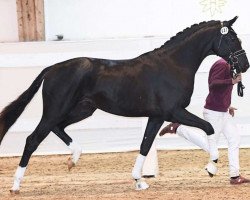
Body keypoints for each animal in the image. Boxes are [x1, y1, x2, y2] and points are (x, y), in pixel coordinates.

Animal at [0, 16, 249, 192]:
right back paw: (15, 186)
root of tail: (51, 69)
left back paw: (73, 159)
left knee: (57, 128)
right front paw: (211, 166)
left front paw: (139, 181)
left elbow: (145, 145)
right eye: (231, 38)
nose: (244, 65)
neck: (174, 65)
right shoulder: (174, 111)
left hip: (82, 109)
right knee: (33, 139)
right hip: (56, 110)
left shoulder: (157, 116)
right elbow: (209, 127)